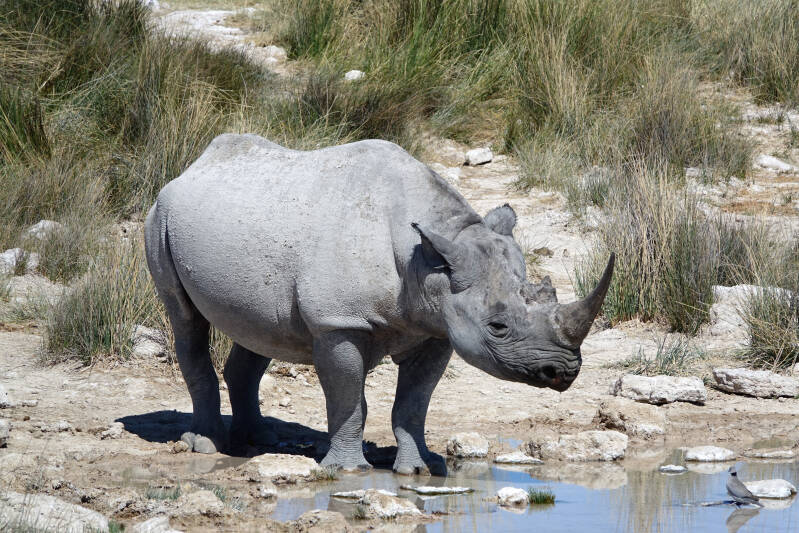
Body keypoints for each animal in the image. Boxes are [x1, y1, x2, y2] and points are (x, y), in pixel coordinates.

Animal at [144, 133, 614, 474]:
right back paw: (206, 445)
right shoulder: (338, 322)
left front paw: (420, 469)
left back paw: (260, 440)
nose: (563, 372)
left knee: (258, 328)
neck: (426, 259)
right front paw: (349, 470)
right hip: (160, 219)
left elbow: (413, 403)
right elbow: (348, 398)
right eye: (498, 327)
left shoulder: (437, 326)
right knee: (185, 319)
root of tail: (192, 167)